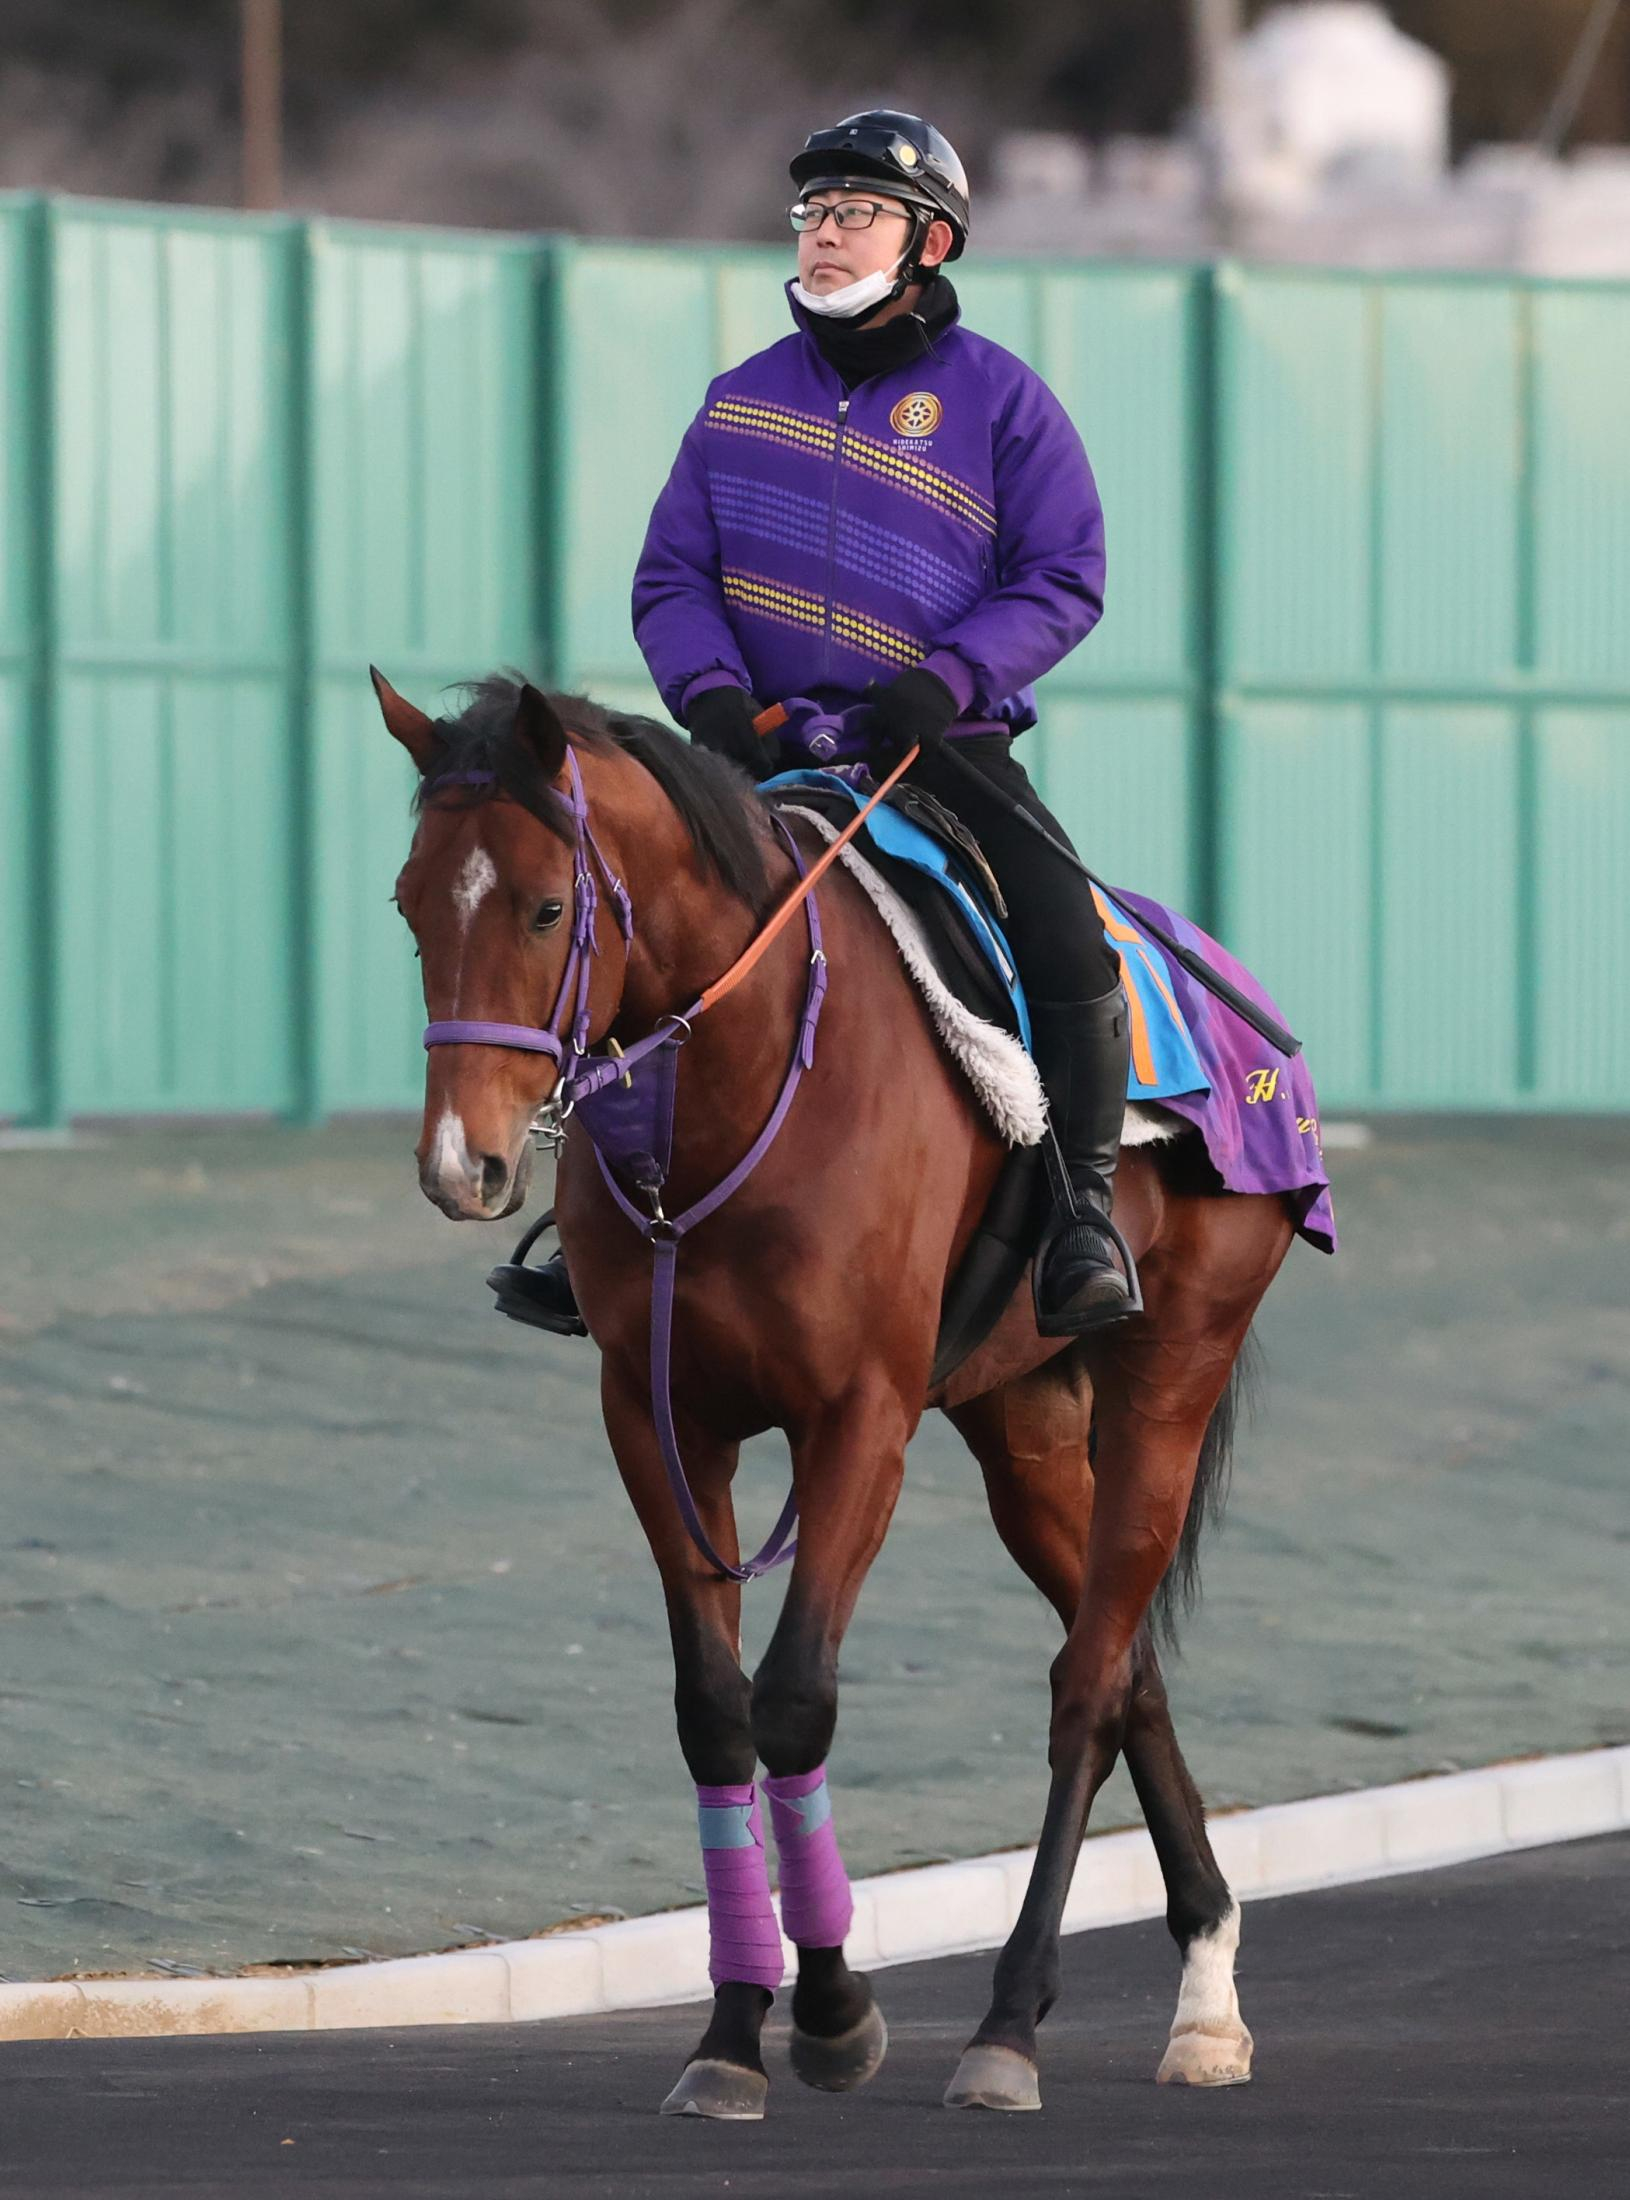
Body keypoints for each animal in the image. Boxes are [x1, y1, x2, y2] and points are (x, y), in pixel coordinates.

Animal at [376, 668, 1296, 2118]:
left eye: (540, 906)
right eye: (411, 904)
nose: (459, 1165)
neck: (741, 1091)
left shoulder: (856, 1418)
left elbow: (794, 1695)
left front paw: (830, 2010)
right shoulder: (659, 1420)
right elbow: (714, 1715)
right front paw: (729, 2029)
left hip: (1173, 1370)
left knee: (1086, 1683)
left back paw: (1011, 2024)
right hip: (1020, 1421)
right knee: (1128, 1660)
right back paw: (1202, 1990)